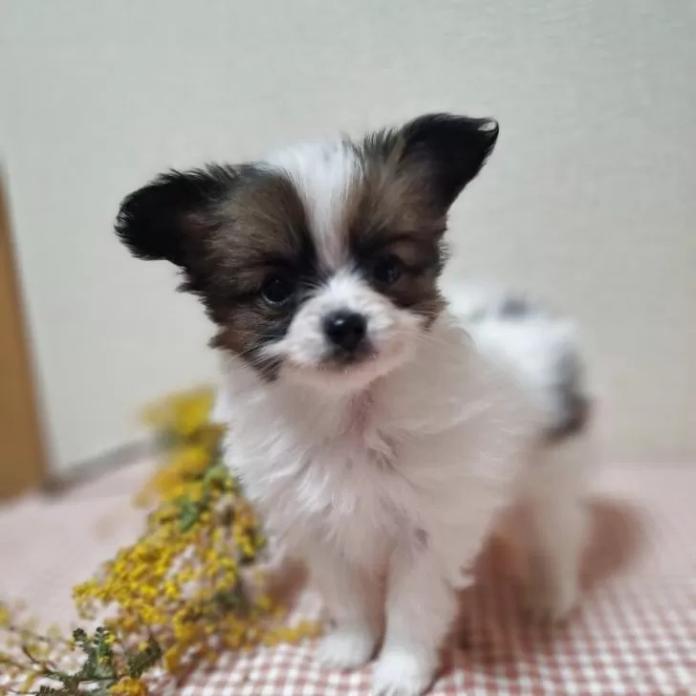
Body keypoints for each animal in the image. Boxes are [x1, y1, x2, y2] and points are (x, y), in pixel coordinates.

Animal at [116, 113, 591, 695]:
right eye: (275, 289)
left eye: (387, 269)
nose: (346, 324)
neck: (351, 413)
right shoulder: (322, 530)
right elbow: (350, 597)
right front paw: (351, 648)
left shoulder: (425, 529)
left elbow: (412, 605)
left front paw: (400, 671)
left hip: (551, 473)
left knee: (558, 536)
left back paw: (552, 598)